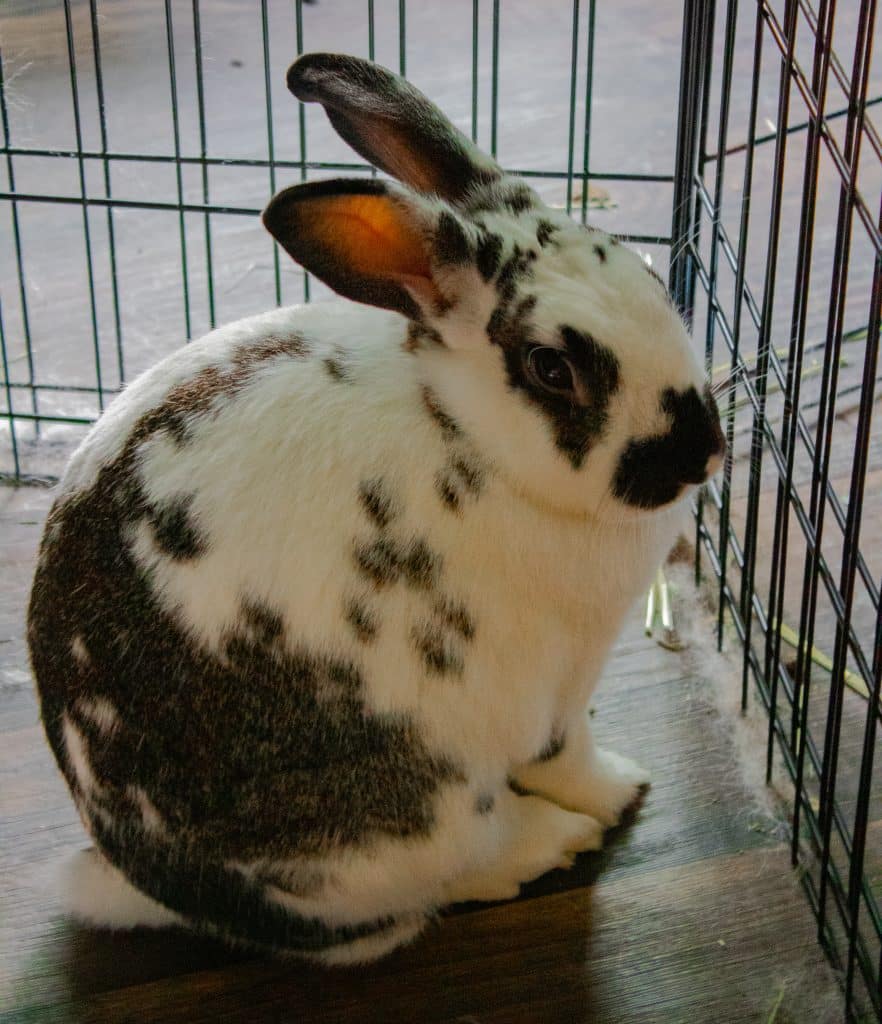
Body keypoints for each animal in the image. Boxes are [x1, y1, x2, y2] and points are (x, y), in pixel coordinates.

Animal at [27, 52, 725, 963]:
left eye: (647, 275)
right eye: (551, 368)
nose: (702, 452)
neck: (463, 430)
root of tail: (161, 888)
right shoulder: (555, 688)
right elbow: (567, 759)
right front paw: (622, 790)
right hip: (418, 816)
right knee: (457, 869)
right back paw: (551, 840)